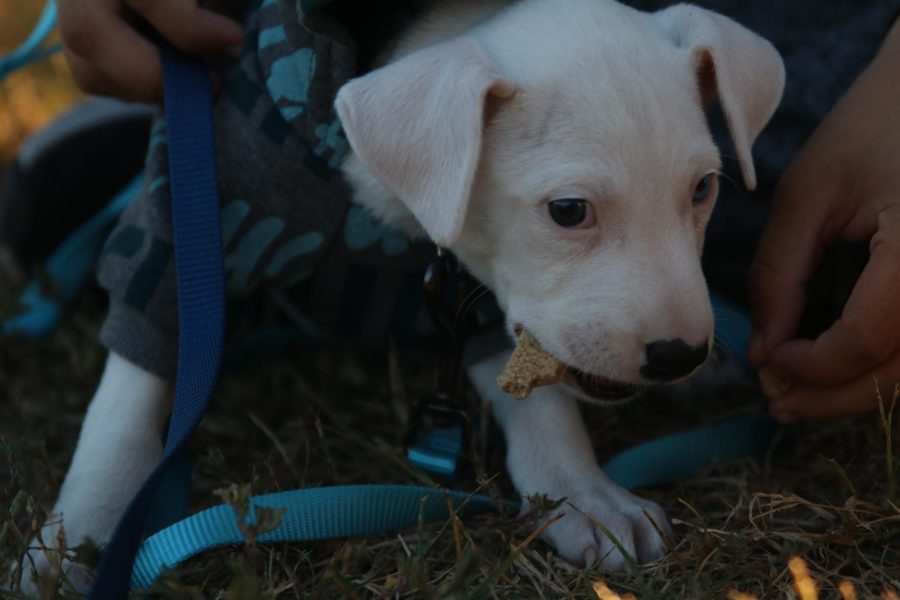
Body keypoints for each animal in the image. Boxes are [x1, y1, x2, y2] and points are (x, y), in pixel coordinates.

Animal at [26, 0, 780, 588]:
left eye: (703, 189)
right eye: (569, 211)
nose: (679, 354)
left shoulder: (482, 300)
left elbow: (536, 396)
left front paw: (583, 493)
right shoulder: (190, 227)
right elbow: (130, 400)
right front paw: (73, 544)